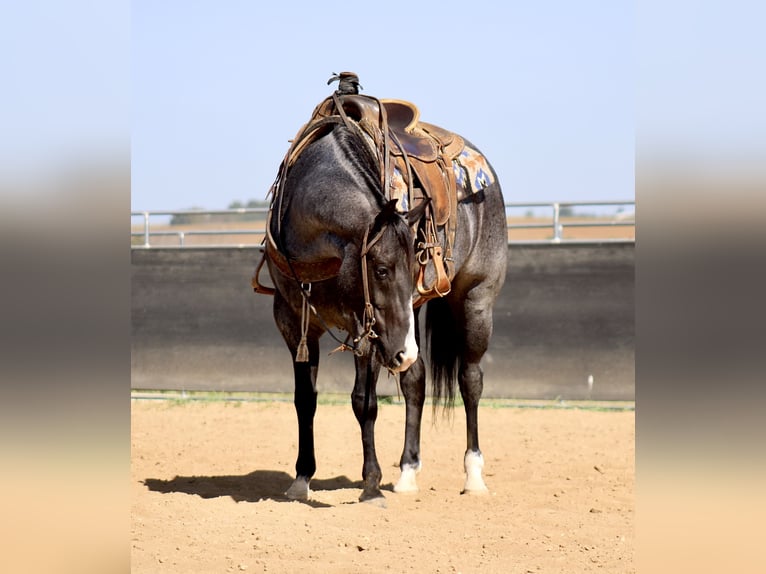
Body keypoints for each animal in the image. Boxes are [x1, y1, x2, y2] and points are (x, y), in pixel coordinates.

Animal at [256, 74, 510, 506]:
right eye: (381, 268)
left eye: (409, 264)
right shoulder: (292, 319)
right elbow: (305, 399)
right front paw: (301, 478)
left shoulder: (367, 325)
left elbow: (365, 402)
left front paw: (371, 483)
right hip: (407, 322)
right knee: (416, 379)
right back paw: (407, 472)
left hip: (474, 300)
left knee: (470, 380)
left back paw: (474, 476)